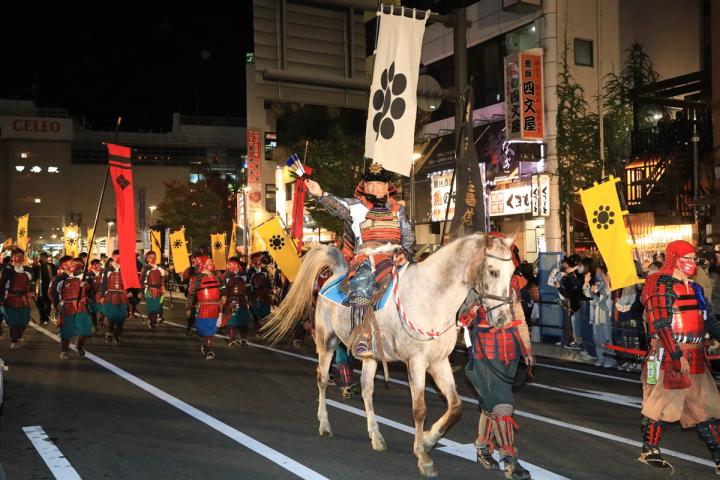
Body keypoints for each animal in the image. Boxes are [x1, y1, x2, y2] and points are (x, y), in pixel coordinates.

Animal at [262, 232, 516, 476]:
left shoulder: (439, 362)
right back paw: (324, 425)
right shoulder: (416, 362)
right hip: (327, 342)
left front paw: (428, 439)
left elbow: (455, 406)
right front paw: (423, 457)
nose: (503, 319)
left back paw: (376, 437)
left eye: (513, 272)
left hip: (371, 356)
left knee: (366, 389)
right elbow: (419, 410)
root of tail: (335, 275)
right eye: (492, 271)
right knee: (322, 380)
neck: (432, 297)